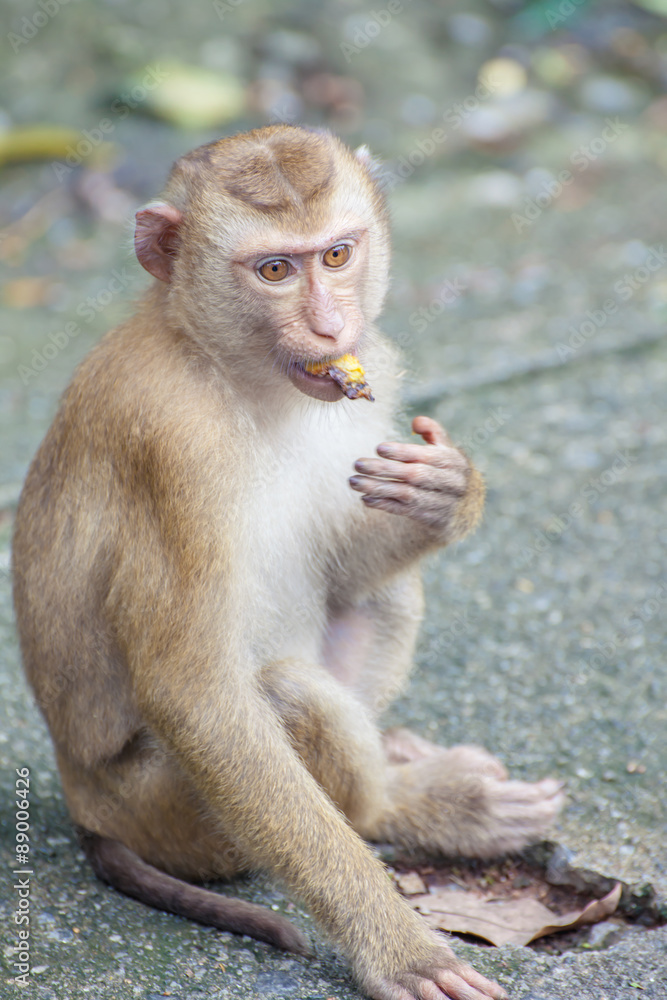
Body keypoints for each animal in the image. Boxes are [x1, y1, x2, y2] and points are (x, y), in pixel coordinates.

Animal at [12, 125, 564, 1000]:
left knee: (384, 594)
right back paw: (397, 812)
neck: (224, 365)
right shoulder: (172, 446)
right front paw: (400, 950)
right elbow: (196, 697)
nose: (332, 325)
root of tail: (82, 801)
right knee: (289, 695)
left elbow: (350, 567)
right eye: (274, 270)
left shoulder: (375, 369)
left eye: (336, 255)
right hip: (173, 818)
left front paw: (448, 494)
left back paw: (402, 785)